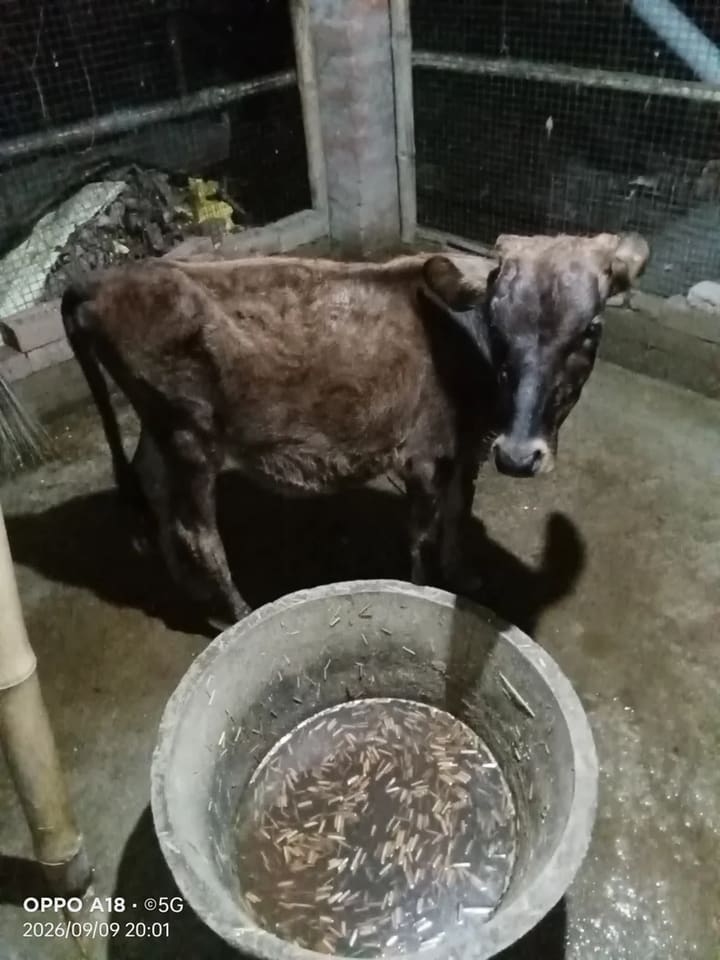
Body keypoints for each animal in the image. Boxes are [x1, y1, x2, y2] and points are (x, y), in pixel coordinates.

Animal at [61, 232, 649, 627]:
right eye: (498, 324)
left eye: (590, 329)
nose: (520, 454)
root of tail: (100, 280)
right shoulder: (425, 453)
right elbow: (423, 531)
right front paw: (424, 590)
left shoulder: (467, 449)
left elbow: (459, 514)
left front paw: (463, 575)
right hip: (191, 434)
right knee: (197, 532)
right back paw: (238, 611)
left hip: (158, 427)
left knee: (154, 492)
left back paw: (189, 588)